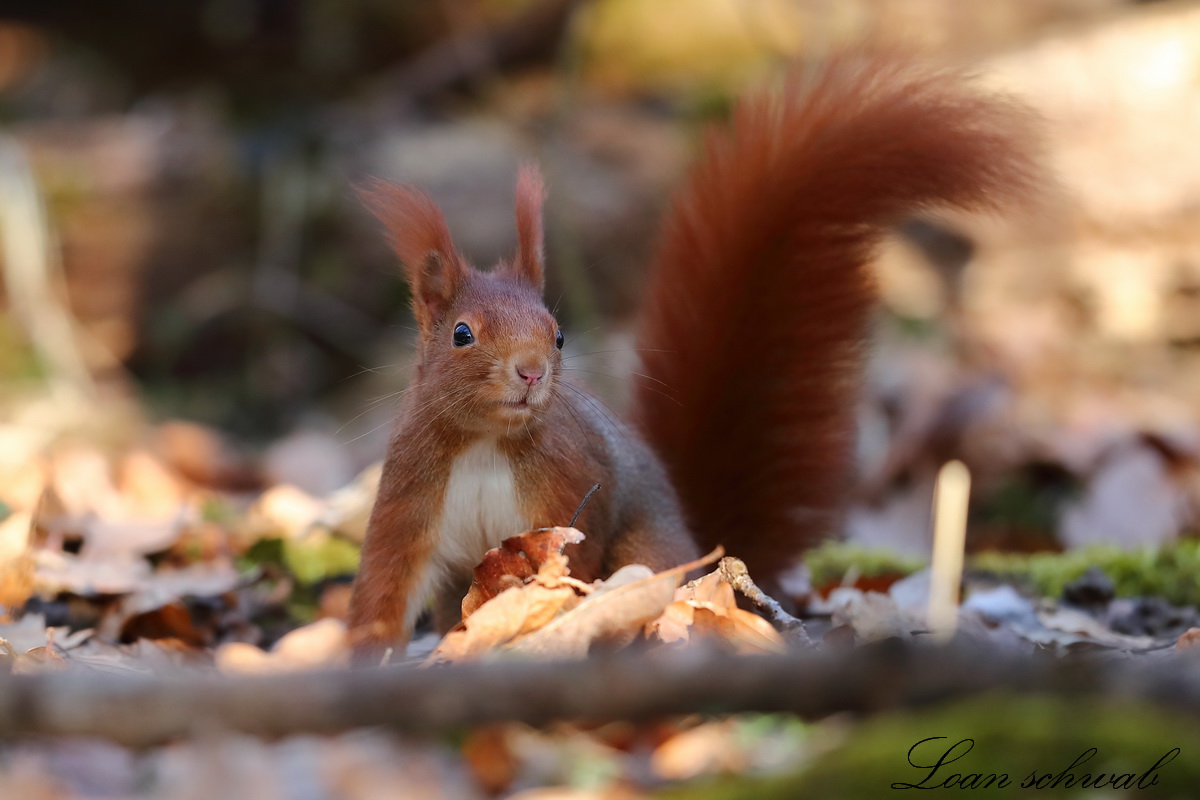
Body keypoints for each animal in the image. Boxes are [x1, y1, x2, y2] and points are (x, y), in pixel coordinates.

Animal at [345, 51, 1041, 662]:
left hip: (653, 550)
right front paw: (363, 656)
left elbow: (573, 562)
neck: (488, 441)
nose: (532, 371)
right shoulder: (409, 496)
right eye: (462, 334)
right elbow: (385, 583)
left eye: (559, 334)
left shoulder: (570, 489)